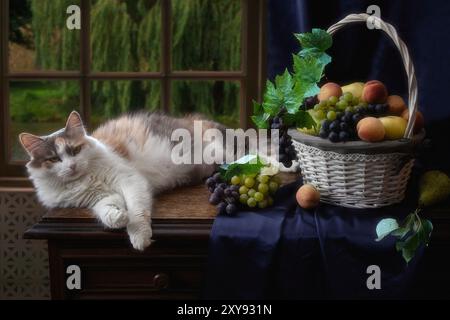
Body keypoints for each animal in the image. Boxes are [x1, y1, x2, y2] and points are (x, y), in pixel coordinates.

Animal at [19, 111, 227, 251]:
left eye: (76, 150)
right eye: (54, 159)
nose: (72, 166)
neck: (85, 178)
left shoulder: (130, 180)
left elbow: (137, 212)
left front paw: (139, 237)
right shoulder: (99, 198)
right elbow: (106, 211)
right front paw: (120, 218)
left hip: (217, 153)